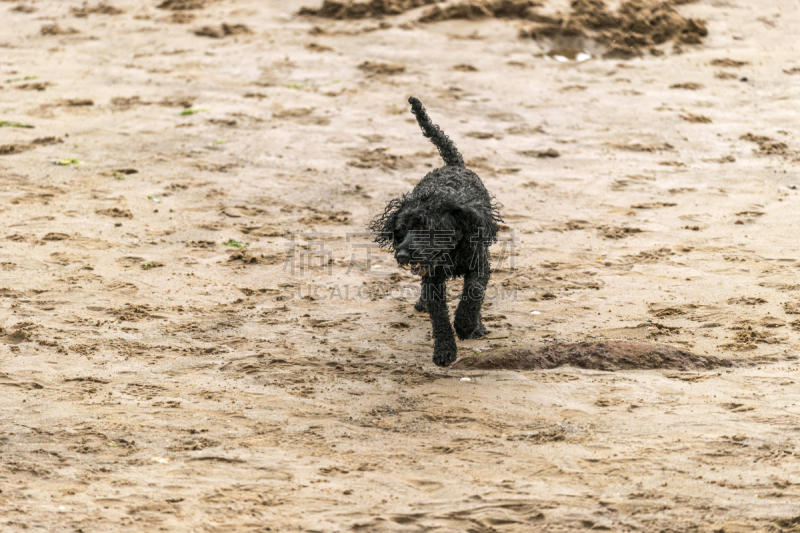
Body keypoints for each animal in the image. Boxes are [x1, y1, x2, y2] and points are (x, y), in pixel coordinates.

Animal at [370, 96, 500, 366]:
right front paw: (445, 350)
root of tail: (454, 165)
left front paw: (466, 326)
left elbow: (473, 295)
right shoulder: (433, 279)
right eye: (401, 229)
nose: (402, 255)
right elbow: (439, 316)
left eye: (427, 227)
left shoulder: (479, 265)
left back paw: (478, 326)